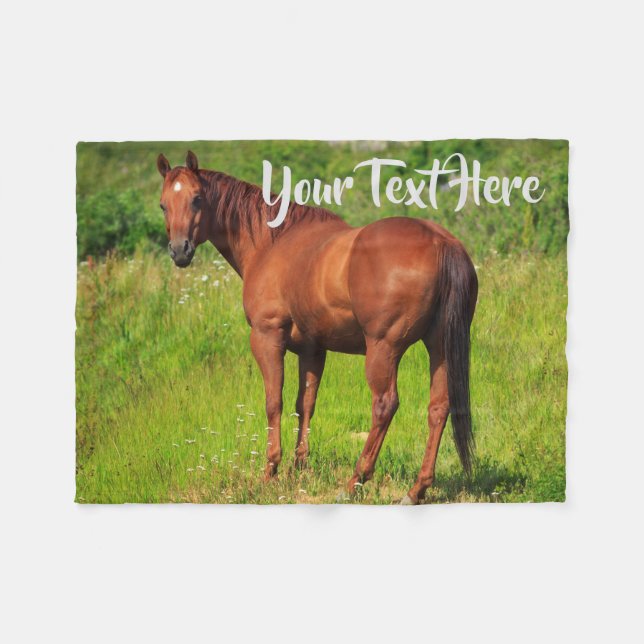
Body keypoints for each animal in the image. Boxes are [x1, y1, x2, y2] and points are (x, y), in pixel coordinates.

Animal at [157, 151, 478, 504]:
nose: (179, 250)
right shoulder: (312, 350)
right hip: (439, 346)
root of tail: (441, 242)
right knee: (439, 407)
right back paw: (417, 488)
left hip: (384, 348)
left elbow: (274, 402)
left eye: (197, 199)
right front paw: (300, 465)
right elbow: (305, 403)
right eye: (163, 205)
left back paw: (356, 480)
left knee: (385, 405)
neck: (272, 243)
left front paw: (271, 470)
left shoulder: (267, 338)